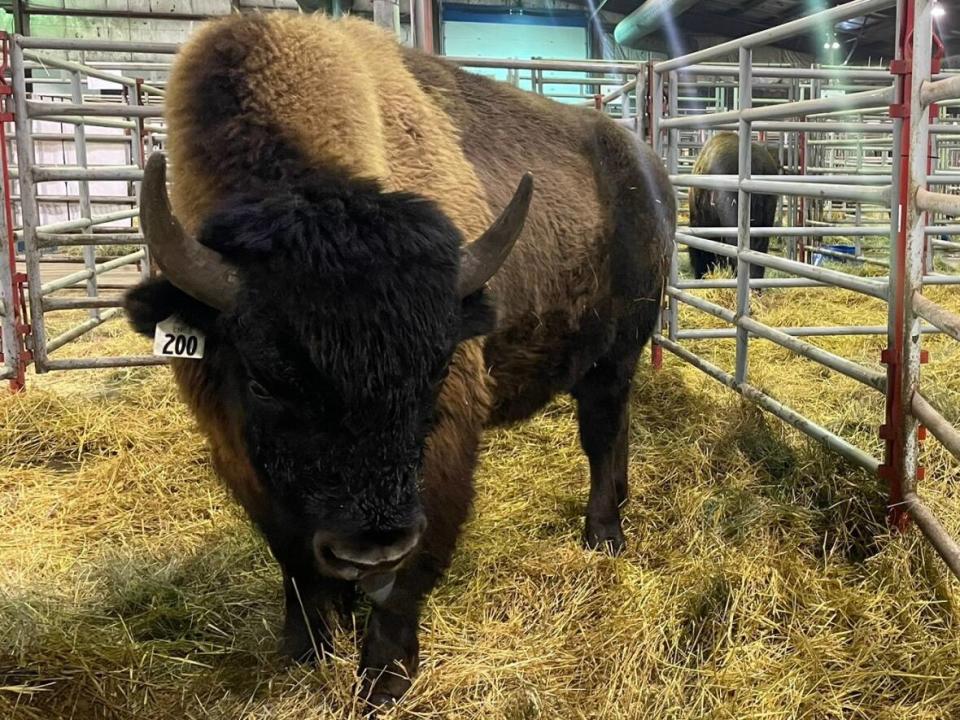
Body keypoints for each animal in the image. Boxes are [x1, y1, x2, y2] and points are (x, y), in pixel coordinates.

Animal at [122, 14, 676, 712]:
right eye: (263, 380)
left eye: (434, 371)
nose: (367, 549)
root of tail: (647, 169)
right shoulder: (243, 460)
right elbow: (294, 562)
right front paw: (305, 650)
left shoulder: (441, 450)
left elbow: (408, 572)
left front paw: (384, 679)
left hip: (616, 357)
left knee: (602, 435)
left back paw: (603, 536)